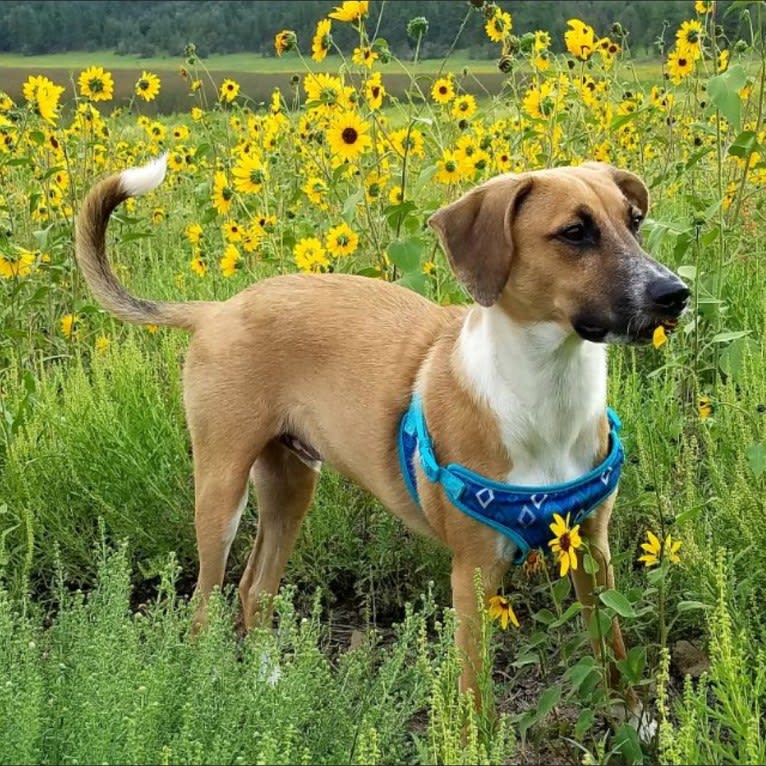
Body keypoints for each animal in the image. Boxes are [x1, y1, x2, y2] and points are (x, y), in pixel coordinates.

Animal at [76, 158, 688, 728]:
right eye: (574, 232)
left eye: (634, 221)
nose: (675, 294)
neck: (544, 392)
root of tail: (217, 310)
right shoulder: (473, 572)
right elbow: (475, 690)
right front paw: (475, 743)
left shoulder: (590, 547)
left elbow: (611, 645)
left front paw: (636, 717)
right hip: (222, 492)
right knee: (205, 605)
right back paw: (208, 687)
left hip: (291, 485)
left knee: (255, 589)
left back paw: (272, 682)